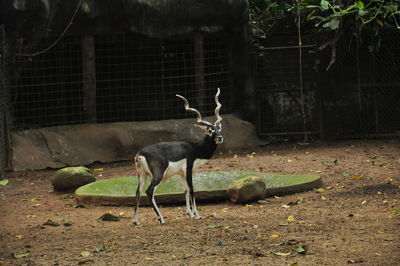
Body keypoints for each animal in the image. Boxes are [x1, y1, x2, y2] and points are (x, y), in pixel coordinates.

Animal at [133, 89, 223, 224]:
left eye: (219, 129)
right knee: (149, 191)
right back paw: (161, 219)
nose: (219, 138)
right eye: (210, 130)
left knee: (138, 192)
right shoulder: (189, 170)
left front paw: (189, 214)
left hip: (142, 175)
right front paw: (197, 215)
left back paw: (136, 221)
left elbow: (185, 190)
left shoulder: (181, 174)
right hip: (158, 175)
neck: (195, 148)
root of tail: (140, 154)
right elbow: (192, 190)